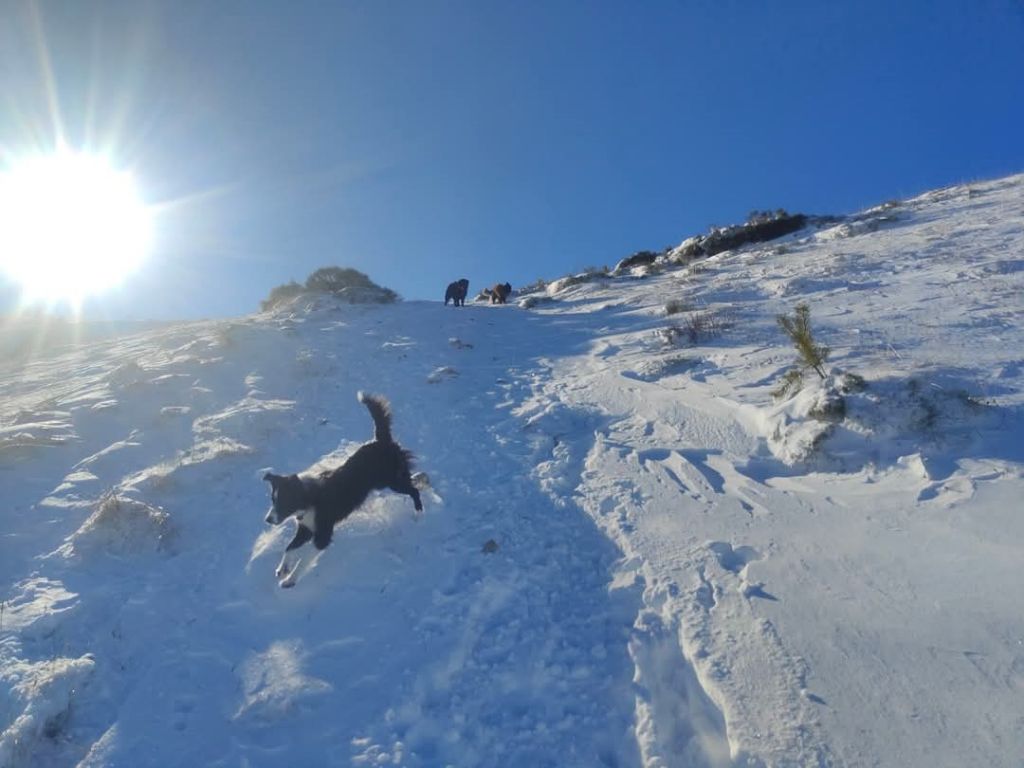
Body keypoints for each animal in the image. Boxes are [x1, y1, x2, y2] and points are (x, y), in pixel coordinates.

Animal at [266, 393, 425, 585]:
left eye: (283, 502)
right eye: (273, 500)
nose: (267, 520)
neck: (309, 498)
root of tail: (380, 440)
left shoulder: (322, 535)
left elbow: (304, 559)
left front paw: (290, 580)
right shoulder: (305, 529)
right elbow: (289, 548)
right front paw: (283, 569)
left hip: (393, 481)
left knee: (414, 490)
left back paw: (418, 513)